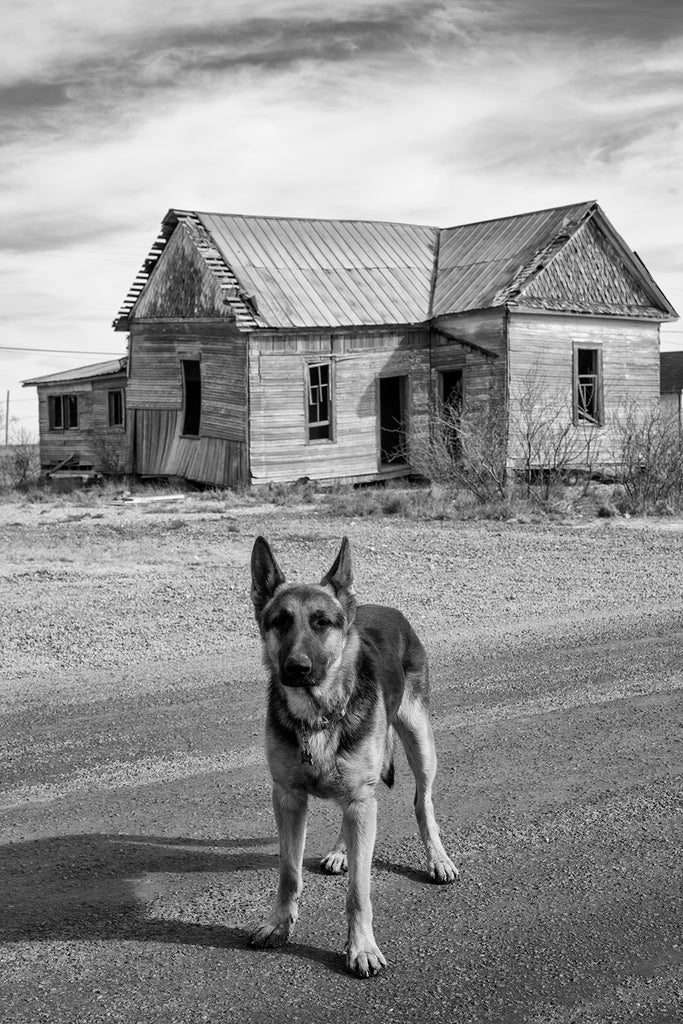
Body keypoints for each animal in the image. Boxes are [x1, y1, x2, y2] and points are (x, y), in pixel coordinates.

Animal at [248, 536, 456, 974]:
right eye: (280, 621)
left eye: (322, 622)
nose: (297, 668)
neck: (317, 714)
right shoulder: (288, 798)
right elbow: (288, 873)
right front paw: (279, 924)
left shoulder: (362, 798)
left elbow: (359, 891)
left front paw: (361, 947)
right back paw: (341, 851)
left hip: (420, 744)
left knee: (423, 804)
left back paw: (438, 859)